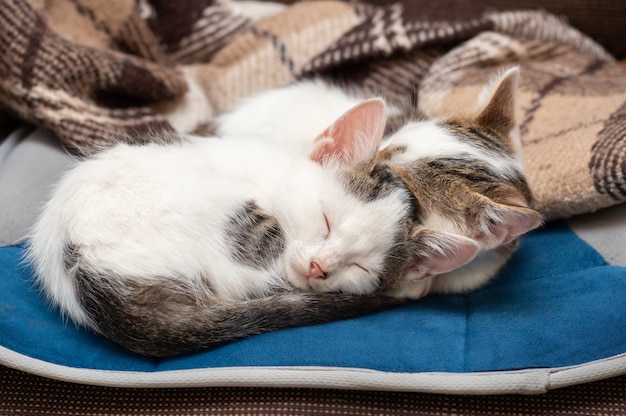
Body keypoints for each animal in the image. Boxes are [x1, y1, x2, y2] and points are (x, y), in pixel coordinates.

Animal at [24, 99, 472, 356]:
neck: (277, 171)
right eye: (326, 219)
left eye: (360, 267)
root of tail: (81, 268)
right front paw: (415, 283)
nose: (320, 268)